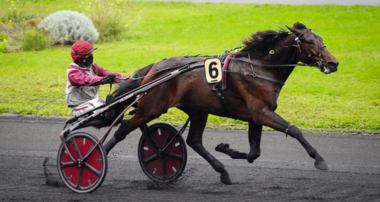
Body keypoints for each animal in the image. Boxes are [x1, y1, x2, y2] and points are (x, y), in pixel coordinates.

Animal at [104, 22, 338, 185]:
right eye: (309, 41)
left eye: (320, 38)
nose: (333, 63)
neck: (259, 68)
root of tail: (155, 68)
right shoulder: (261, 113)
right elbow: (295, 130)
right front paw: (319, 159)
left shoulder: (256, 116)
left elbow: (254, 153)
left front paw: (225, 148)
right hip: (151, 108)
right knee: (123, 129)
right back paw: (98, 156)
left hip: (197, 110)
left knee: (194, 141)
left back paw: (223, 171)